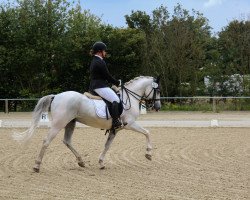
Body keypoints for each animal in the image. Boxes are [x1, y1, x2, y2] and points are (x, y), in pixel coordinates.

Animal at [12, 76, 161, 171]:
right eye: (157, 90)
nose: (157, 107)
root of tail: (56, 96)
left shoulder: (115, 129)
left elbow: (107, 145)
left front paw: (101, 163)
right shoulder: (129, 124)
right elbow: (147, 132)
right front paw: (148, 154)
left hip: (70, 123)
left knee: (67, 141)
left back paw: (81, 161)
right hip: (59, 123)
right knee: (46, 141)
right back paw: (37, 165)